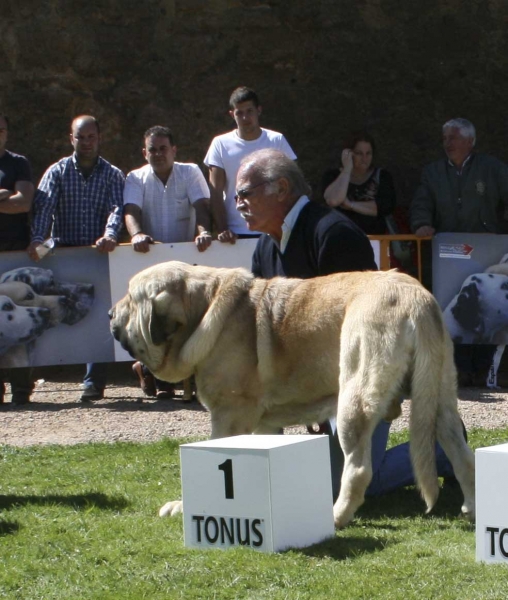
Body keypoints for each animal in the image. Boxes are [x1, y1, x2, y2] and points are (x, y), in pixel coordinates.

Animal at [108, 260, 476, 528]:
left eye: (130, 299)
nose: (110, 314)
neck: (205, 310)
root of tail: (416, 298)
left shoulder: (228, 415)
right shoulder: (263, 424)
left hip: (353, 401)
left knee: (359, 469)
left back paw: (336, 517)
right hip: (438, 398)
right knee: (461, 454)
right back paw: (472, 506)